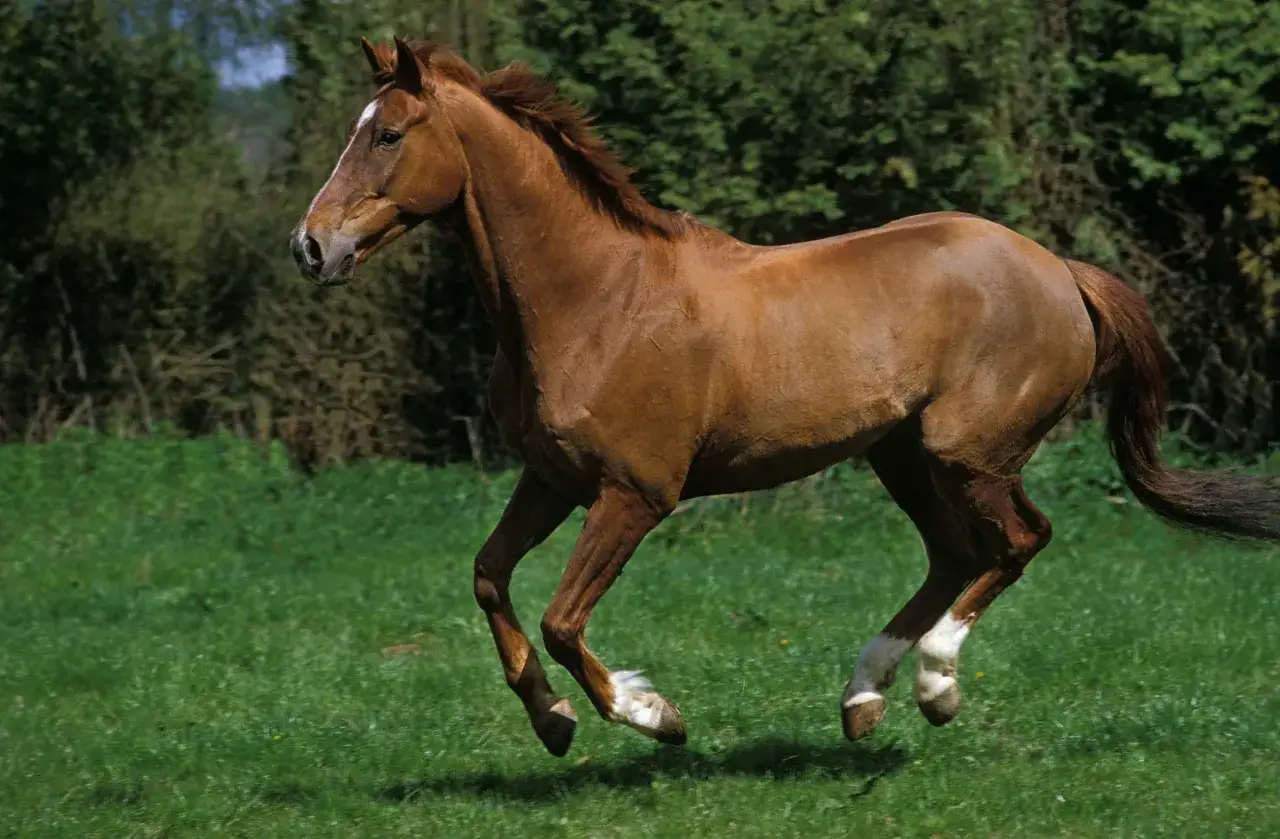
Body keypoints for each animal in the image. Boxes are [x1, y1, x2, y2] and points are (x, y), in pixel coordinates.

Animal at [290, 37, 1280, 757]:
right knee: (956, 554)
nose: (310, 246)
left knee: (1019, 541)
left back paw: (935, 685)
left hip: (968, 450)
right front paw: (554, 722)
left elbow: (563, 619)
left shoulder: (633, 495)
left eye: (388, 135)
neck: (594, 299)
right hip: (900, 454)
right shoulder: (551, 478)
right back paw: (862, 699)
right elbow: (490, 578)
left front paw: (656, 716)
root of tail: (1060, 271)